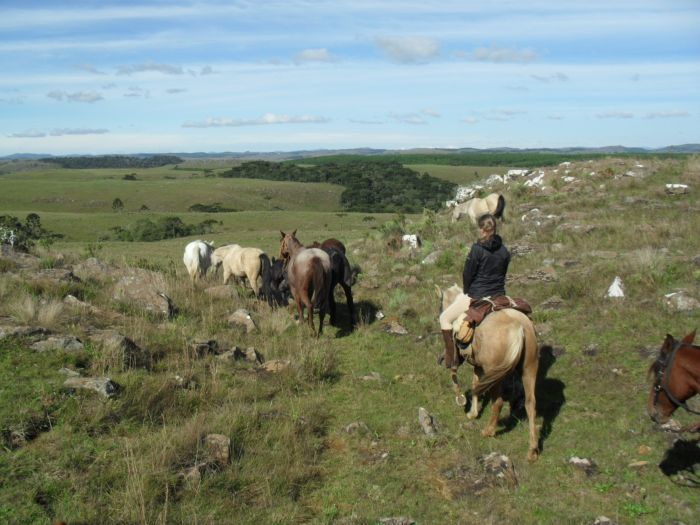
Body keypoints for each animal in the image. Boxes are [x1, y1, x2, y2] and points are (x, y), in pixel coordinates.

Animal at [438, 284, 540, 460]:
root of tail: (519, 327)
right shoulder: (478, 366)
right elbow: (475, 384)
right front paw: (473, 412)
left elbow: (467, 381)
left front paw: (466, 406)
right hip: (529, 368)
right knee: (530, 403)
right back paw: (532, 450)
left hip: (496, 374)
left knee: (498, 402)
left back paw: (488, 431)